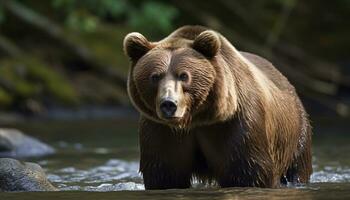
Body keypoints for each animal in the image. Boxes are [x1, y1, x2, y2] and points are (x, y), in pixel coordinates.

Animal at [122, 25, 312, 189]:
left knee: (297, 167)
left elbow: (248, 173)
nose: (169, 104)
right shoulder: (161, 130)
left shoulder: (237, 124)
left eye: (184, 76)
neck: (196, 119)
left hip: (295, 133)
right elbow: (164, 173)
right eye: (155, 77)